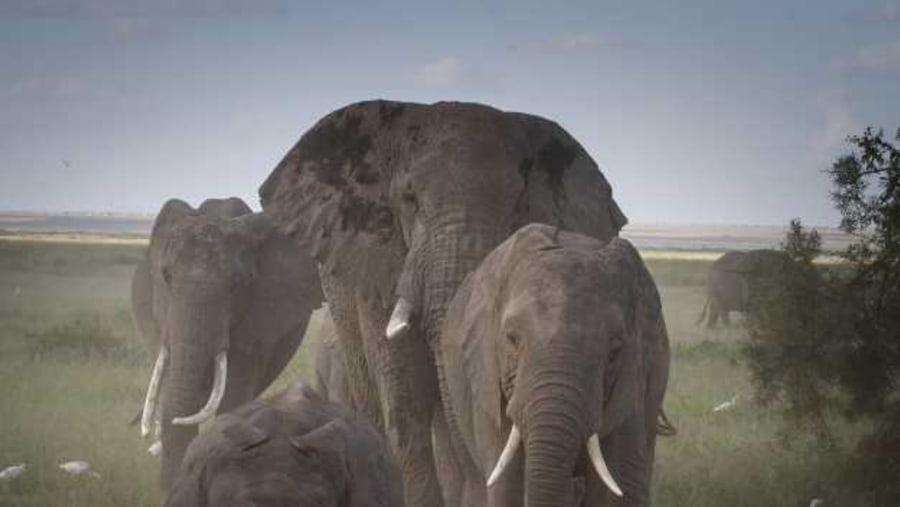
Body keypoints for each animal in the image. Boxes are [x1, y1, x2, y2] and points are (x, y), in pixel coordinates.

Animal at [436, 225, 668, 507]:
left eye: (614, 352)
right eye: (511, 339)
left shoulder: (633, 379)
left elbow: (620, 481)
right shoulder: (487, 373)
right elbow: (505, 484)